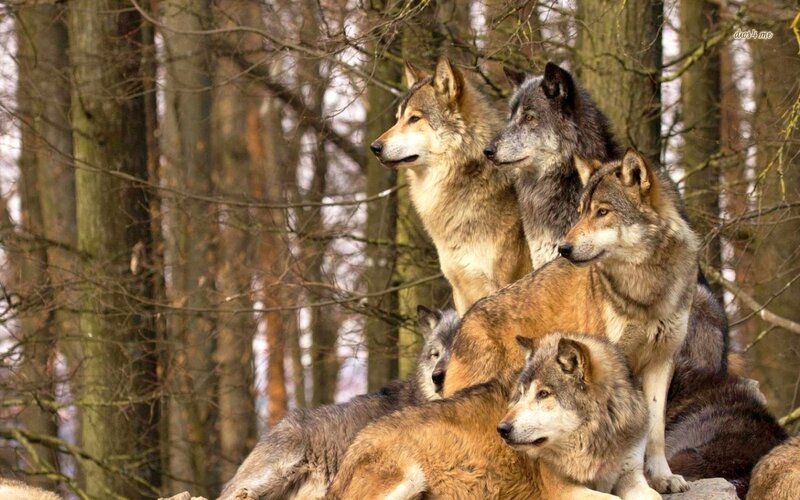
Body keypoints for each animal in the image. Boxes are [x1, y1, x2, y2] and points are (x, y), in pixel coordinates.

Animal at [329, 332, 656, 500]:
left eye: (543, 394)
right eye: (520, 393)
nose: (503, 428)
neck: (596, 440)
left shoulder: (630, 473)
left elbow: (650, 496)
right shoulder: (561, 490)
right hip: (409, 477)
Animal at [439, 150, 699, 493]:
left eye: (602, 212)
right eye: (580, 213)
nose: (564, 248)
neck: (644, 288)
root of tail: (465, 319)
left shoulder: (661, 362)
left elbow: (655, 431)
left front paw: (662, 477)